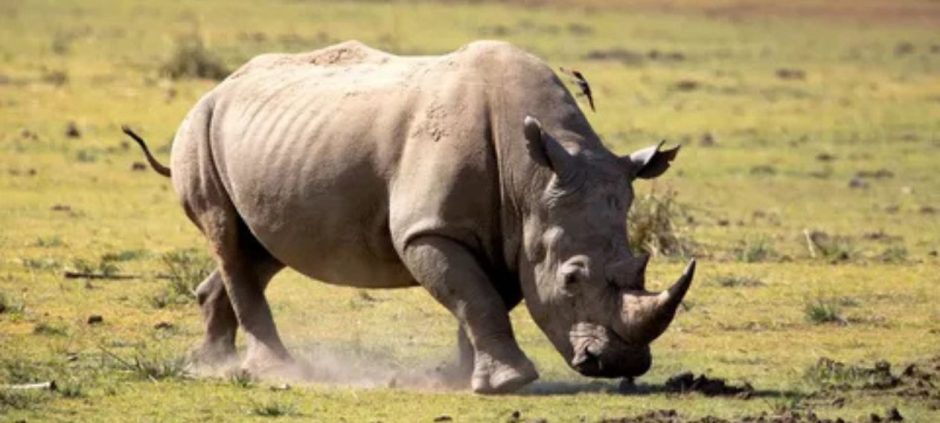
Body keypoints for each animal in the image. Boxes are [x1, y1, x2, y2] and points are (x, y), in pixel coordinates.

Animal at [125, 40, 695, 394]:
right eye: (572, 279)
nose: (620, 364)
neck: (532, 179)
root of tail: (220, 86)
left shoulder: (511, 234)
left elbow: (482, 300)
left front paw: (463, 379)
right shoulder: (431, 229)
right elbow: (476, 297)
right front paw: (509, 384)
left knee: (258, 248)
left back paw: (211, 364)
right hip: (199, 127)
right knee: (228, 236)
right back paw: (273, 370)